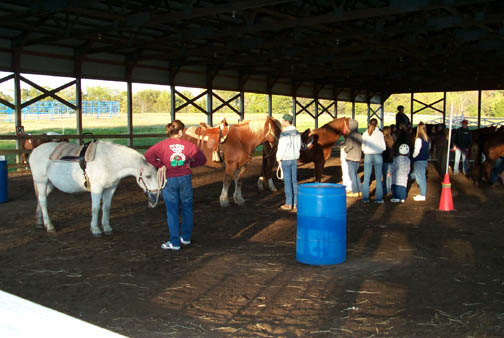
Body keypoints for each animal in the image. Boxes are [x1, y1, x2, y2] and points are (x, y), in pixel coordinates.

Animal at [30, 141, 159, 236]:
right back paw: (49, 226)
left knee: (40, 199)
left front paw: (107, 228)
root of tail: (34, 151)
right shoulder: (97, 189)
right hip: (41, 182)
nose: (154, 197)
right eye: (148, 176)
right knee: (43, 201)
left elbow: (106, 208)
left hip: (50, 184)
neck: (109, 161)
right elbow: (96, 209)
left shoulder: (110, 189)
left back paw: (39, 222)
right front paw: (95, 229)